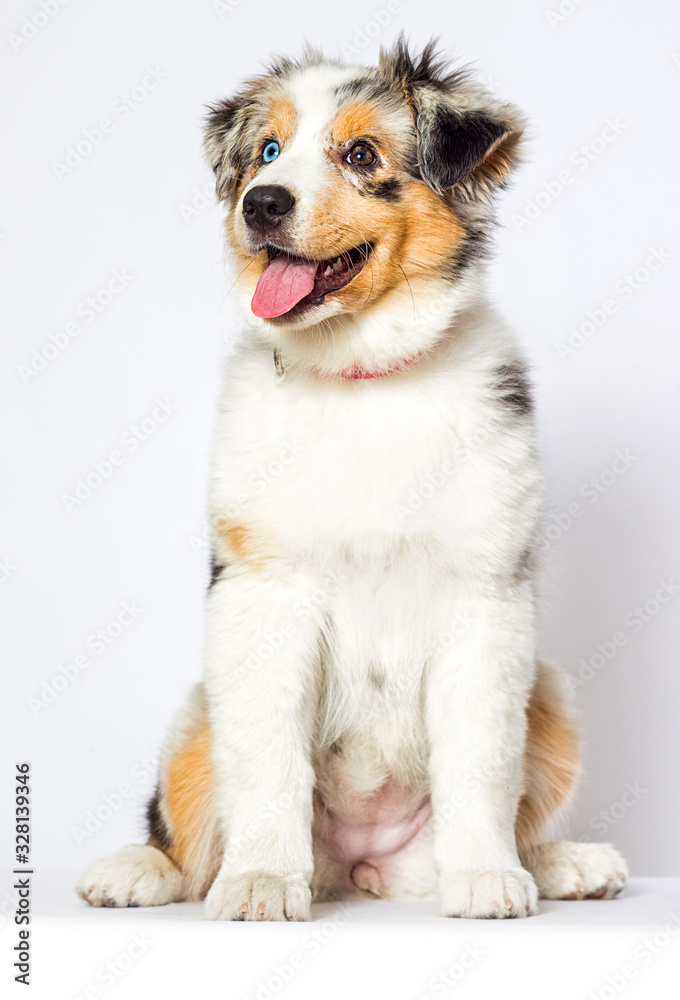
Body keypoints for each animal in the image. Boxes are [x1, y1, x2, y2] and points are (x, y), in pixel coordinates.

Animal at [78, 37, 628, 920]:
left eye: (361, 155)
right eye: (268, 152)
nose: (261, 205)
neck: (363, 376)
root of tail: (363, 868)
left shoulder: (485, 599)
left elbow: (480, 760)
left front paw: (484, 877)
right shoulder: (263, 591)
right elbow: (268, 760)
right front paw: (263, 881)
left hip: (552, 695)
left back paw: (559, 864)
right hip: (196, 715)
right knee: (188, 841)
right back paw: (138, 870)